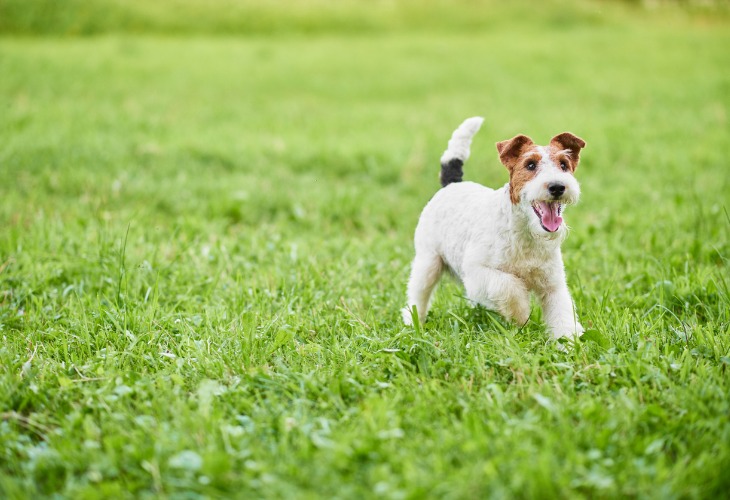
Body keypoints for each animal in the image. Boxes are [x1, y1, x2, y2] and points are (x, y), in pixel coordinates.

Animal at [400, 115, 584, 342]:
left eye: (564, 164)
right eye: (530, 165)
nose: (557, 186)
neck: (526, 234)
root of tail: (451, 184)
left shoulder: (553, 285)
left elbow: (563, 315)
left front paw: (568, 344)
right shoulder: (477, 271)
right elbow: (508, 286)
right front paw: (521, 314)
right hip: (428, 261)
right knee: (418, 294)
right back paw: (412, 322)